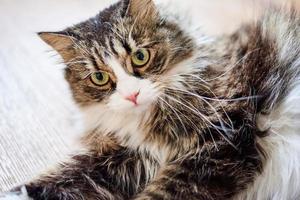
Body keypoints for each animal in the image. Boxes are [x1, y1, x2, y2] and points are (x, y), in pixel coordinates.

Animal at [8, 0, 300, 199]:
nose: (131, 95)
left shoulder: (221, 140)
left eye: (140, 57)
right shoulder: (125, 158)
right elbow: (60, 179)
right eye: (100, 77)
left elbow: (160, 193)